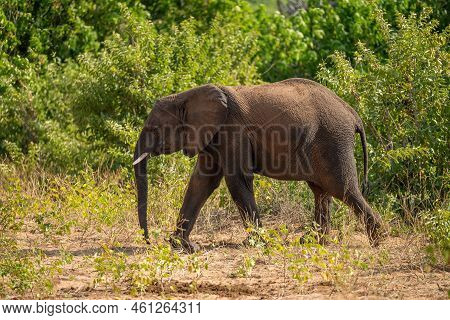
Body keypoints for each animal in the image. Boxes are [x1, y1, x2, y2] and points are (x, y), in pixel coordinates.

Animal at [132, 78, 384, 252]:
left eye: (154, 129)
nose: (148, 241)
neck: (187, 95)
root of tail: (353, 114)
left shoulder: (233, 130)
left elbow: (237, 179)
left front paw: (257, 243)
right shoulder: (212, 136)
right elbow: (201, 183)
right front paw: (182, 246)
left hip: (333, 140)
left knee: (343, 189)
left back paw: (378, 240)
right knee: (321, 191)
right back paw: (312, 242)